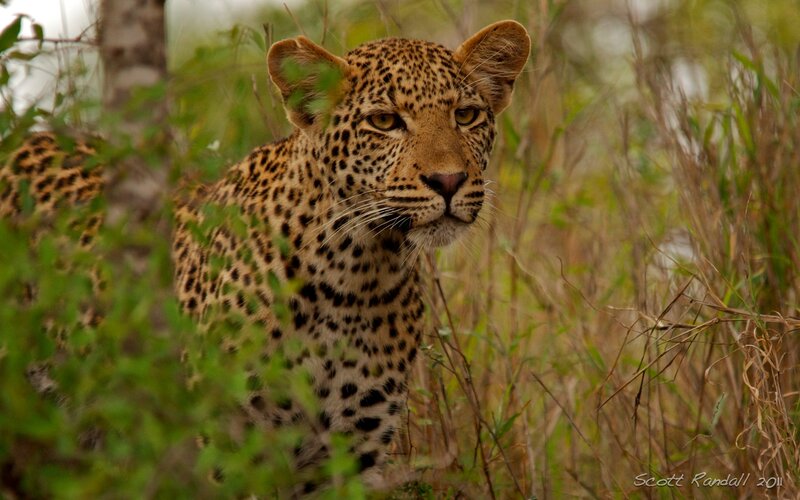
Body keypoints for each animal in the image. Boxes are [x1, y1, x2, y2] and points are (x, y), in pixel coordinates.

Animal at [1, 20, 530, 490]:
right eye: (384, 121)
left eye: (466, 115)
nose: (448, 181)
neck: (357, 273)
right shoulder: (219, 447)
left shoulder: (347, 457)